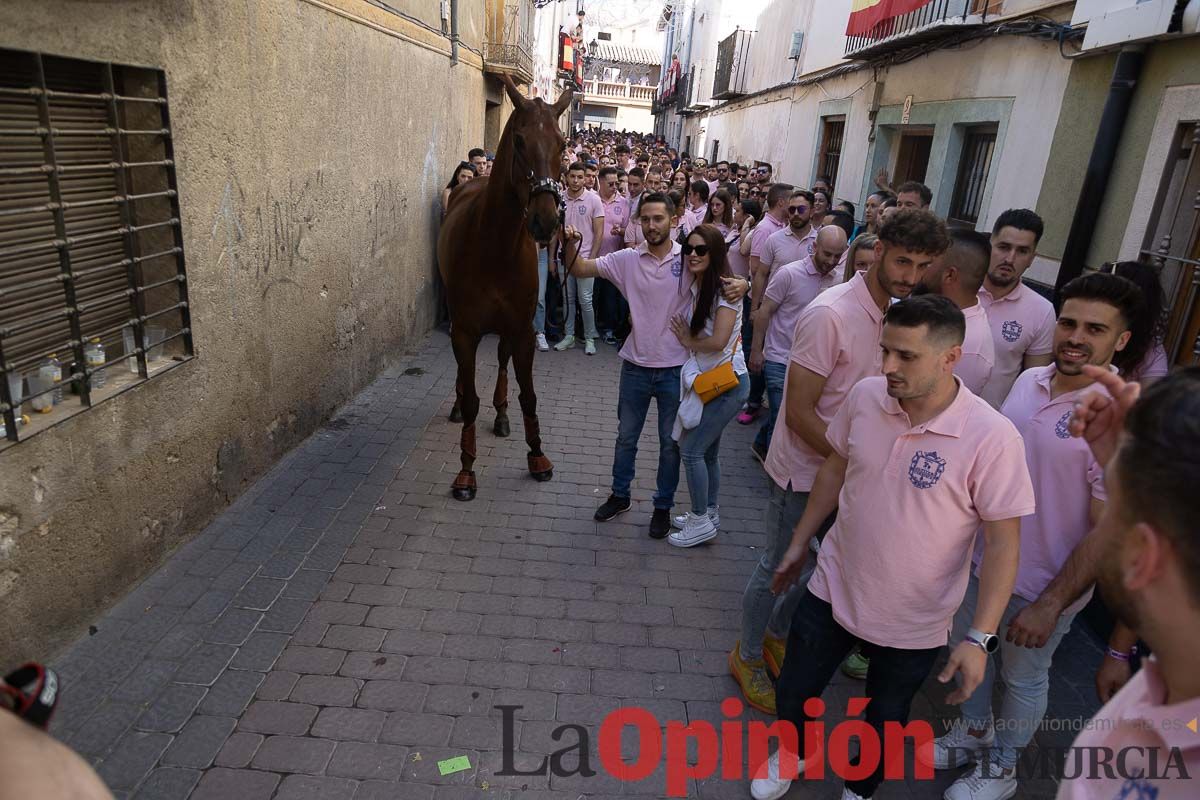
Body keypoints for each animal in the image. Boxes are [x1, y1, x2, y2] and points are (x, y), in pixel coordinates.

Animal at [439, 74, 573, 501]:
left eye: (562, 144)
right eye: (519, 140)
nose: (546, 220)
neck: (495, 245)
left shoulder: (522, 329)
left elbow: (528, 394)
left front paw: (538, 456)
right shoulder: (465, 331)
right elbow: (470, 401)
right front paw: (466, 470)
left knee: (500, 361)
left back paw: (500, 414)